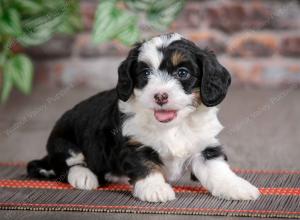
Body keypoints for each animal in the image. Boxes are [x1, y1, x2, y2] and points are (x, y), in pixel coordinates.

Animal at [28, 33, 260, 203]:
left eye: (182, 73)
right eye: (146, 73)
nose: (160, 96)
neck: (174, 125)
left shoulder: (204, 146)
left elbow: (218, 169)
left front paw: (236, 187)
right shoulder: (133, 144)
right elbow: (146, 165)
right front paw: (154, 188)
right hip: (64, 142)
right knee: (67, 165)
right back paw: (84, 177)